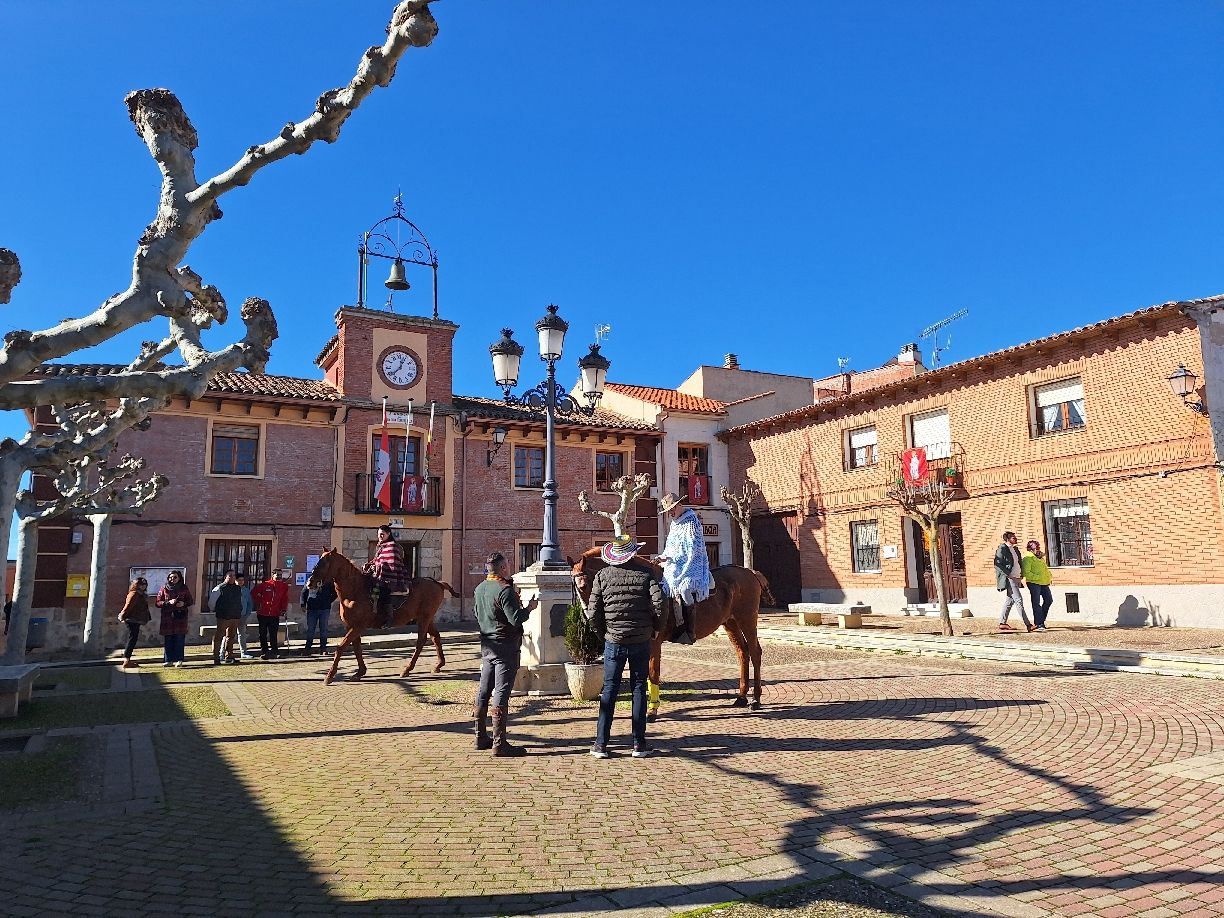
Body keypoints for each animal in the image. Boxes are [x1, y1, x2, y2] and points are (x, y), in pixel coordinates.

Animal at [306, 550, 460, 685]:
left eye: (324, 564)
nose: (310, 582)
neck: (355, 591)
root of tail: (438, 583)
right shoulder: (352, 626)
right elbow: (357, 648)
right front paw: (360, 672)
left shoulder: (358, 626)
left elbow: (340, 647)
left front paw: (330, 676)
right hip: (427, 618)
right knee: (436, 637)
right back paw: (439, 664)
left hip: (424, 618)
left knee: (421, 641)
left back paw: (407, 669)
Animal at [565, 545, 773, 719]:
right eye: (574, 588)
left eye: (584, 585)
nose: (590, 618)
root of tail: (749, 572)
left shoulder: (654, 642)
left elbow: (652, 673)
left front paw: (652, 709)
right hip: (730, 624)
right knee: (742, 653)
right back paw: (742, 696)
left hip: (746, 620)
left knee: (755, 652)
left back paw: (755, 699)